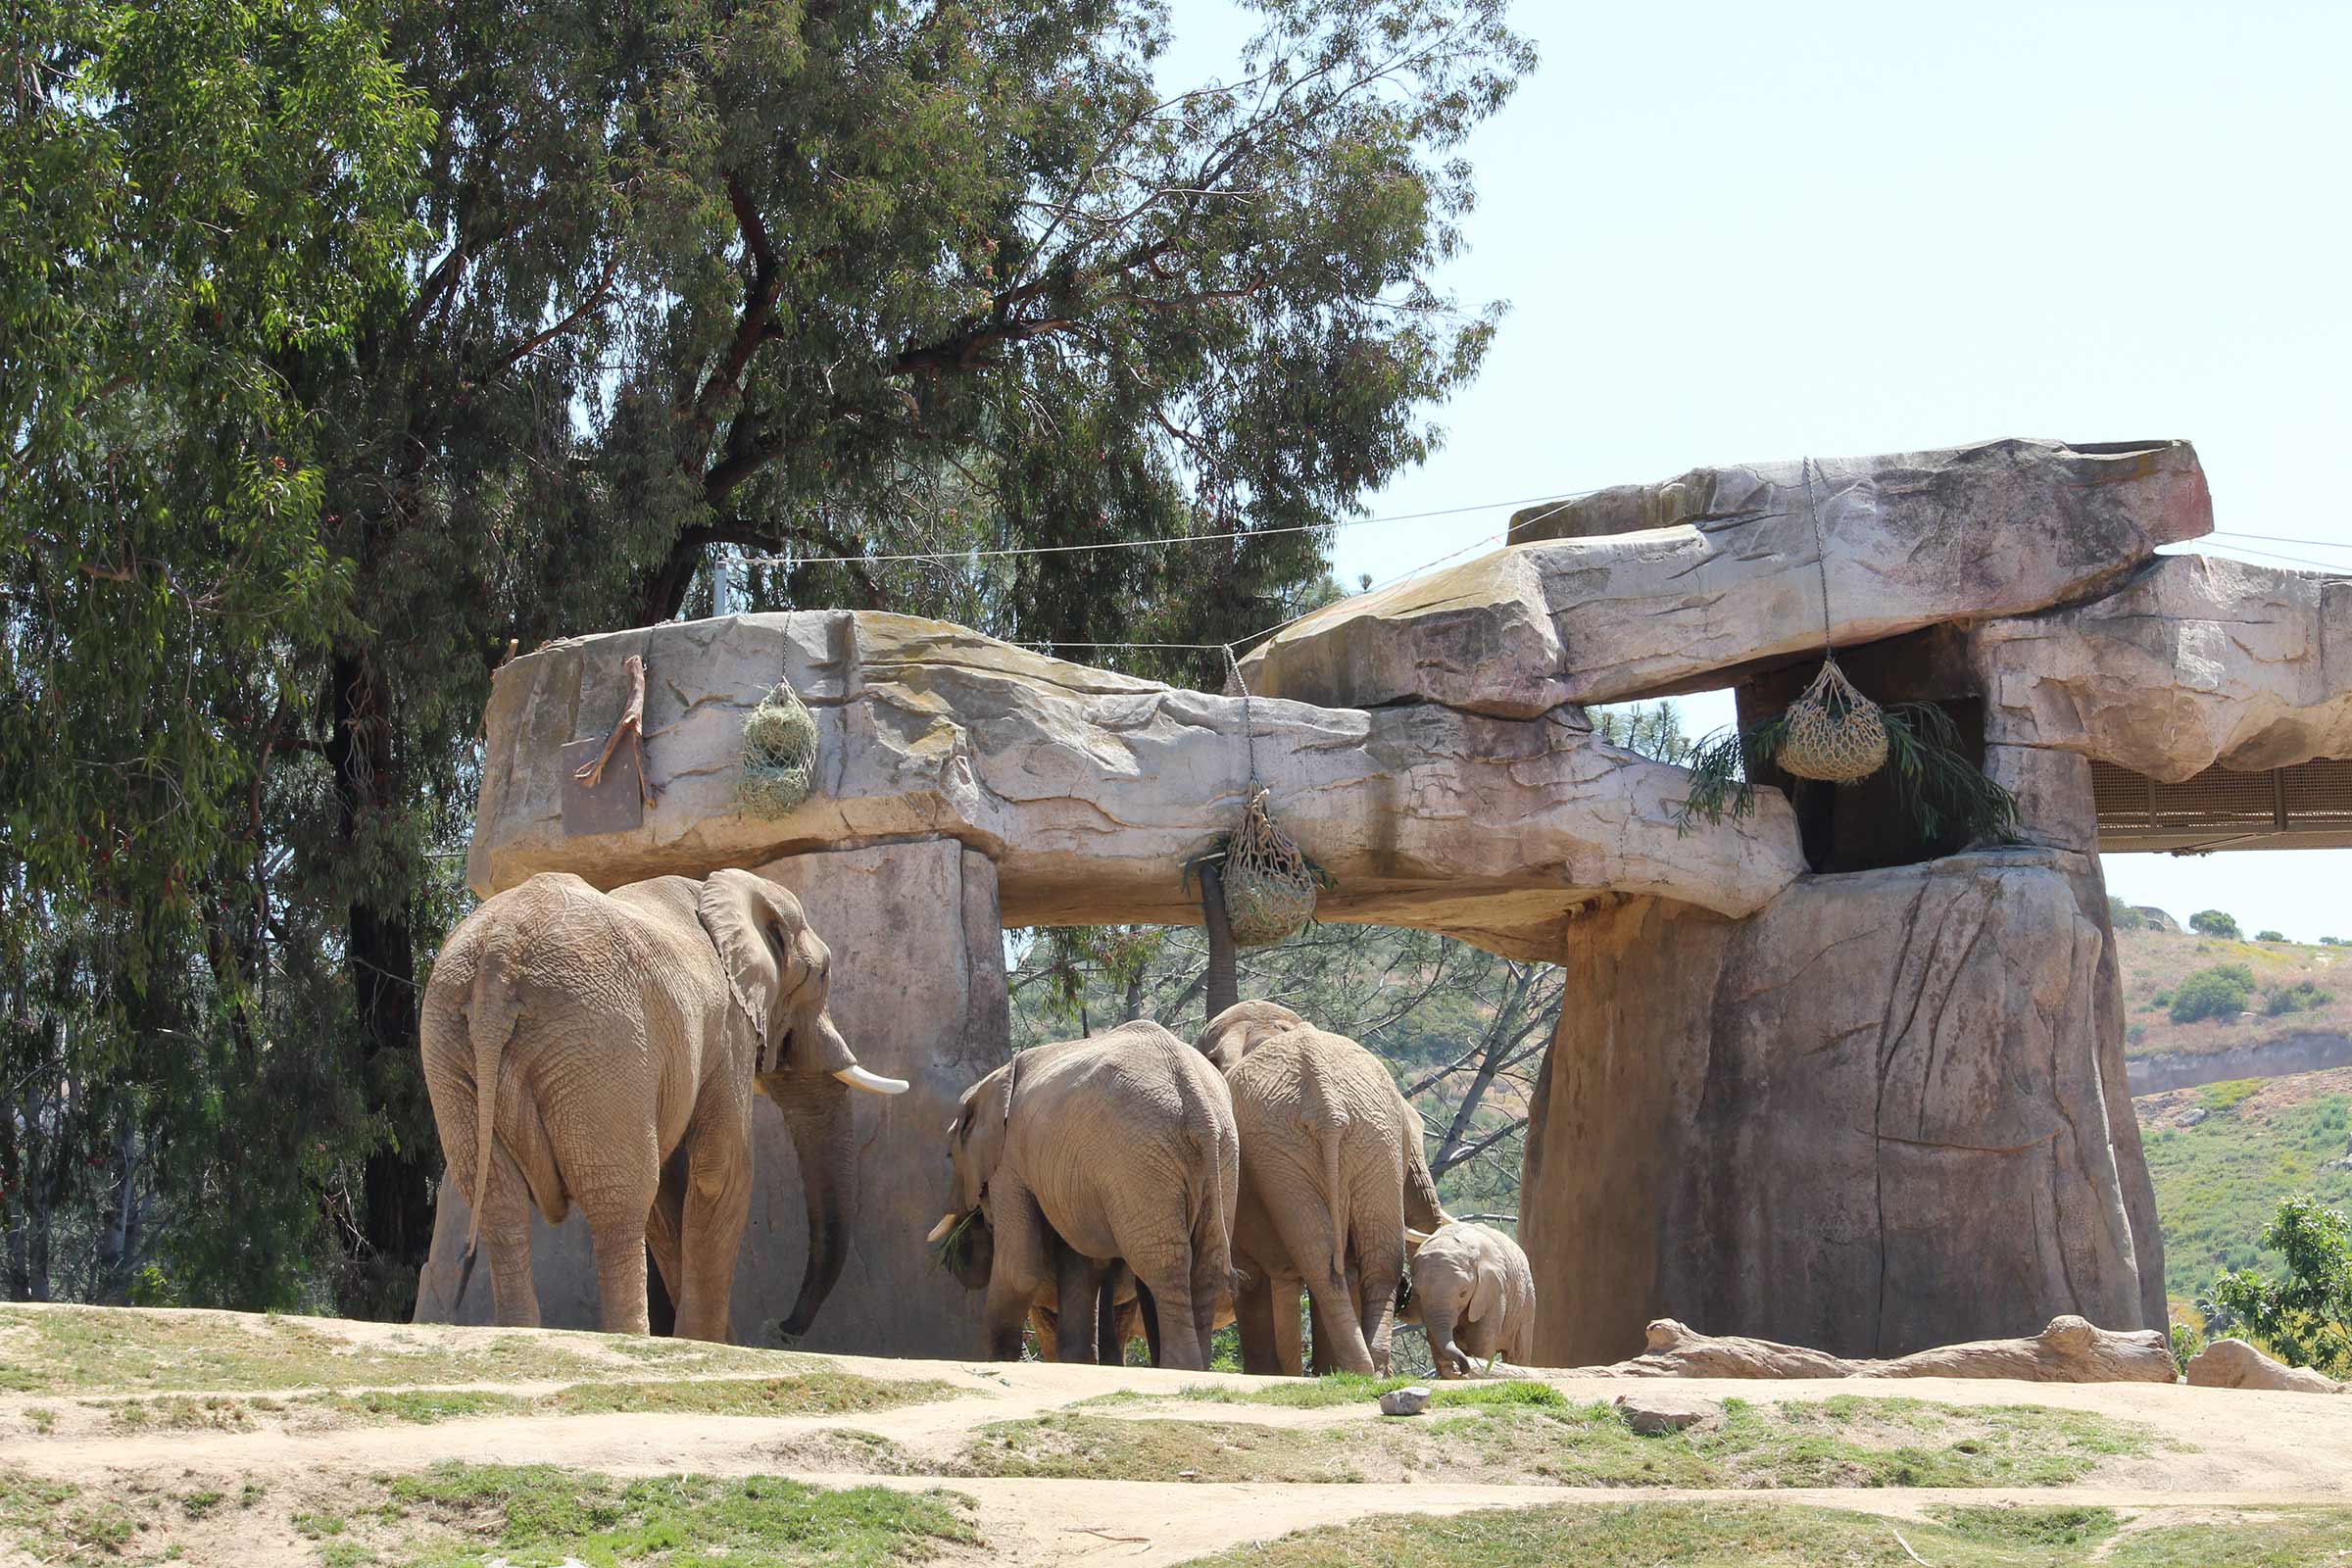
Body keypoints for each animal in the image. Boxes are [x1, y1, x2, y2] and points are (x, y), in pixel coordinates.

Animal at [418, 869, 903, 1335]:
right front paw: (707, 1341)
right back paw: (629, 1336)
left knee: (501, 1201)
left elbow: (672, 1192)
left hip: (448, 1044)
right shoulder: (728, 1024)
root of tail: (498, 962)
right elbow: (721, 1170)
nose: (780, 1330)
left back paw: (521, 1329)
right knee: (620, 1198)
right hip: (602, 1039)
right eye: (821, 975)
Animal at [926, 1024, 1242, 1363]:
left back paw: (1179, 1366)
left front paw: (1001, 1358)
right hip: (1221, 1157)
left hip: (1138, 1161)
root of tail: (1198, 1103)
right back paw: (1195, 1365)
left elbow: (1020, 1267)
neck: (994, 1079)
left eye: (950, 1155)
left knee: (1163, 1264)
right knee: (1204, 1266)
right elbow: (1080, 1261)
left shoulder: (1010, 1161)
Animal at [1203, 1005, 1439, 1372]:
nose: (1409, 1294)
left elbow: (1257, 1276)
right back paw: (1367, 1370)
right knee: (1363, 1261)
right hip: (1360, 1140)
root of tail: (1327, 1106)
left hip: (1333, 1141)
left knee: (1327, 1263)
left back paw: (1354, 1369)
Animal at [1401, 1222, 1533, 1382]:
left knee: (1518, 1353)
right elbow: (1434, 1337)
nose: (1462, 1369)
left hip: (1526, 1300)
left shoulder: (1494, 1291)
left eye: (1463, 1294)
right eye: (1418, 1295)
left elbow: (1482, 1340)